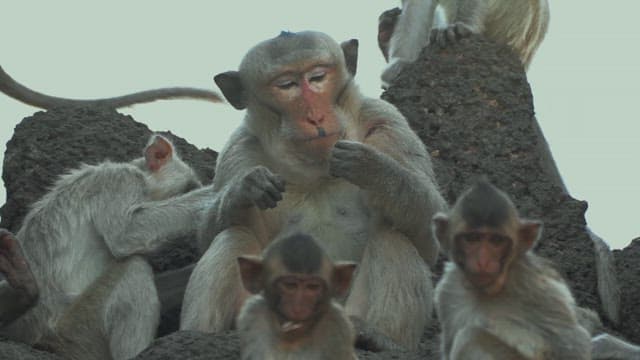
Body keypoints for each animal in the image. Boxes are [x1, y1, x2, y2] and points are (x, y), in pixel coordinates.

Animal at [0, 135, 218, 360]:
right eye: (190, 188)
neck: (142, 177)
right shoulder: (119, 181)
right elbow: (126, 233)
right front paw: (214, 193)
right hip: (74, 335)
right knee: (134, 268)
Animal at [180, 31, 448, 352]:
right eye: (287, 85)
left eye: (317, 77)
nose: (315, 117)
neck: (316, 170)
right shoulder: (239, 149)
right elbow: (207, 236)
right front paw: (246, 188)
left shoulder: (386, 120)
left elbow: (429, 235)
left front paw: (371, 166)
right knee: (234, 235)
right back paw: (200, 335)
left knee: (393, 235)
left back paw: (381, 339)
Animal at [430, 180, 640, 360]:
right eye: (471, 239)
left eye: (497, 241)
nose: (483, 261)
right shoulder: (448, 289)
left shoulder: (532, 285)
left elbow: (573, 341)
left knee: (470, 337)